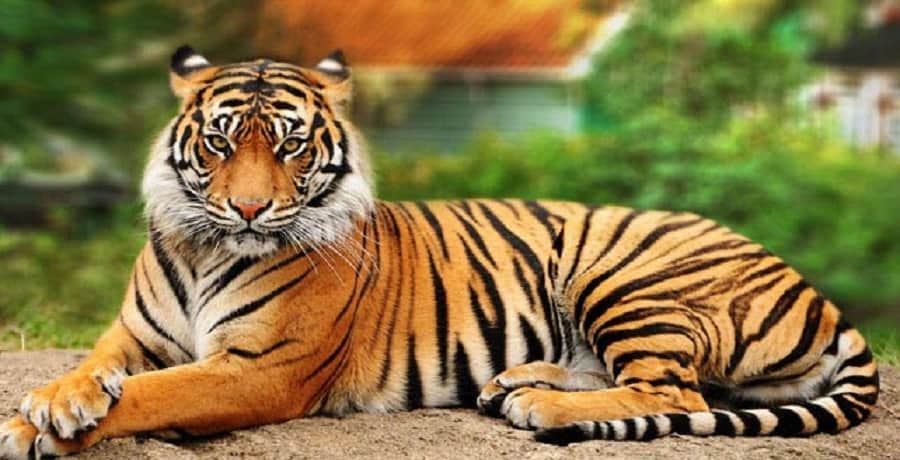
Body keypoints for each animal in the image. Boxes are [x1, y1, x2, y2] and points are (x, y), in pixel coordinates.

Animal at [0, 46, 879, 458]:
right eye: (218, 143)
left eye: (288, 146)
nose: (248, 208)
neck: (205, 246)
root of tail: (817, 291)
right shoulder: (133, 336)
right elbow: (93, 369)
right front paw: (48, 403)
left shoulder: (260, 368)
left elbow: (155, 396)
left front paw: (50, 425)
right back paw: (517, 381)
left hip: (622, 270)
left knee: (674, 390)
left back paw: (539, 405)